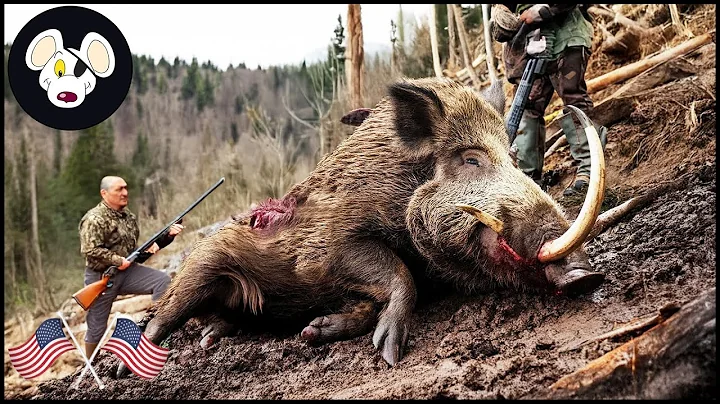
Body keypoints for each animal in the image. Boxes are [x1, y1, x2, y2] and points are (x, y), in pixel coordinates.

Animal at [119, 77, 605, 377]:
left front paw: (314, 331)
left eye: (514, 159)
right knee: (163, 316)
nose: (588, 274)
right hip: (201, 265)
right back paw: (133, 363)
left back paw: (211, 339)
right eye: (471, 159)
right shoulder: (327, 250)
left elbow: (376, 297)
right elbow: (398, 275)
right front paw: (389, 354)